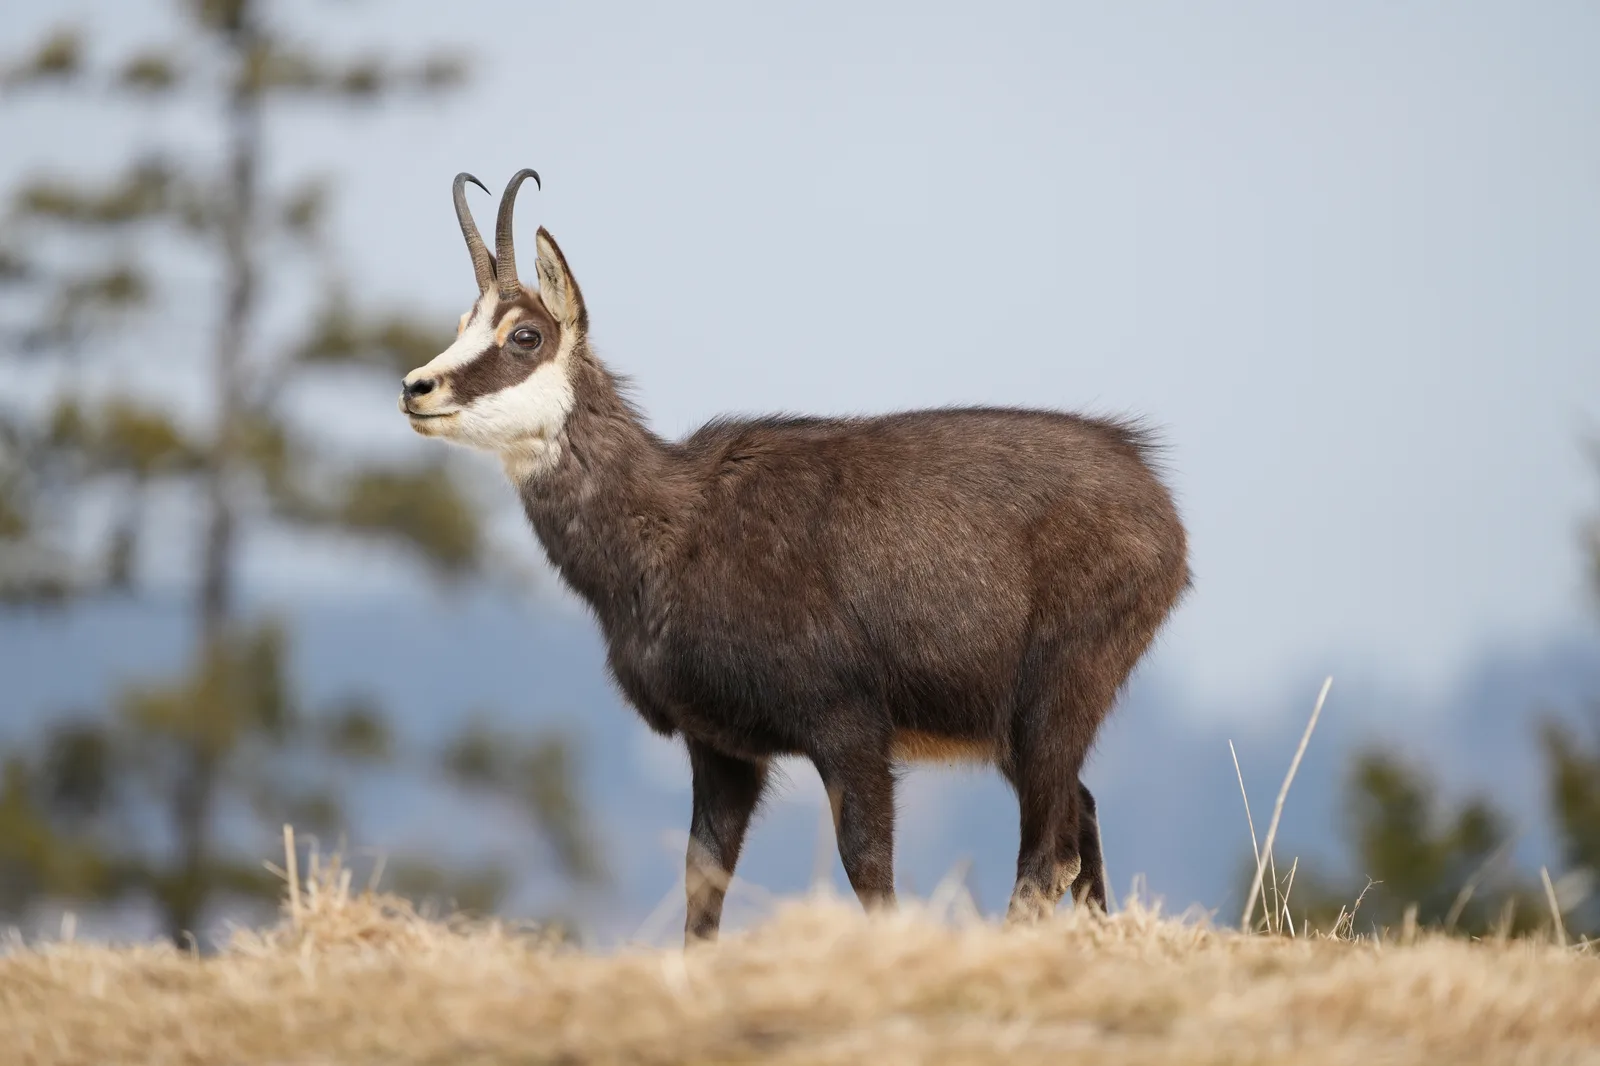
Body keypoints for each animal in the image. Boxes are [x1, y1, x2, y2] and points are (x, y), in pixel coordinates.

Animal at [400, 169, 1192, 943]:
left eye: (525, 334)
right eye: (463, 326)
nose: (416, 388)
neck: (671, 531)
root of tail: (1153, 494)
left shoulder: (849, 726)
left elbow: (867, 868)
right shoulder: (721, 746)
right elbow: (703, 882)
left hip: (1058, 693)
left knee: (1049, 852)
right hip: (1017, 728)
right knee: (1081, 822)